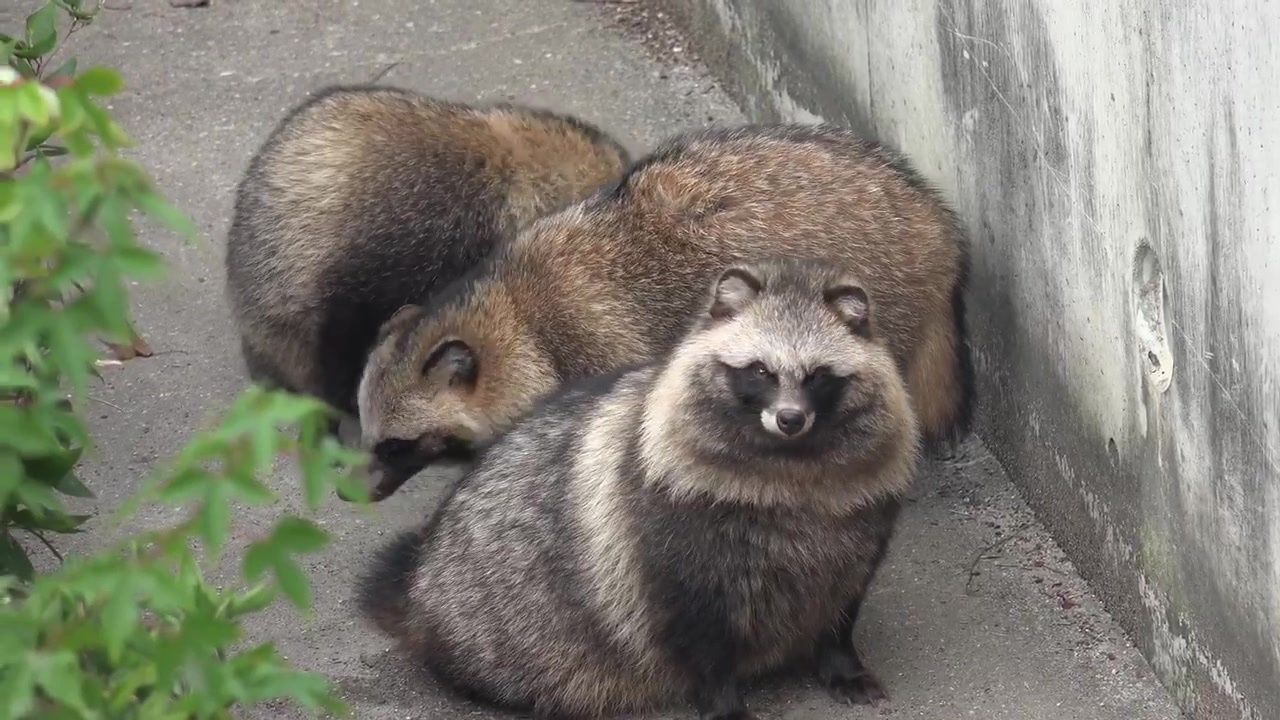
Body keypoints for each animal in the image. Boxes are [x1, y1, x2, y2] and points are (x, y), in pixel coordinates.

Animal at [355, 121, 972, 499]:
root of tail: (935, 223)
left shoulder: (595, 345)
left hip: (880, 291)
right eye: (372, 437)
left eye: (395, 444)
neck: (515, 317)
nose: (354, 492)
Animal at [358, 257, 921, 717]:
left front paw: (840, 660)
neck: (790, 464)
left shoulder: (859, 516)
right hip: (496, 624)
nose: (789, 419)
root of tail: (421, 579)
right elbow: (696, 623)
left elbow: (843, 597)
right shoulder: (667, 526)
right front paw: (722, 698)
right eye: (760, 370)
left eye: (818, 376)